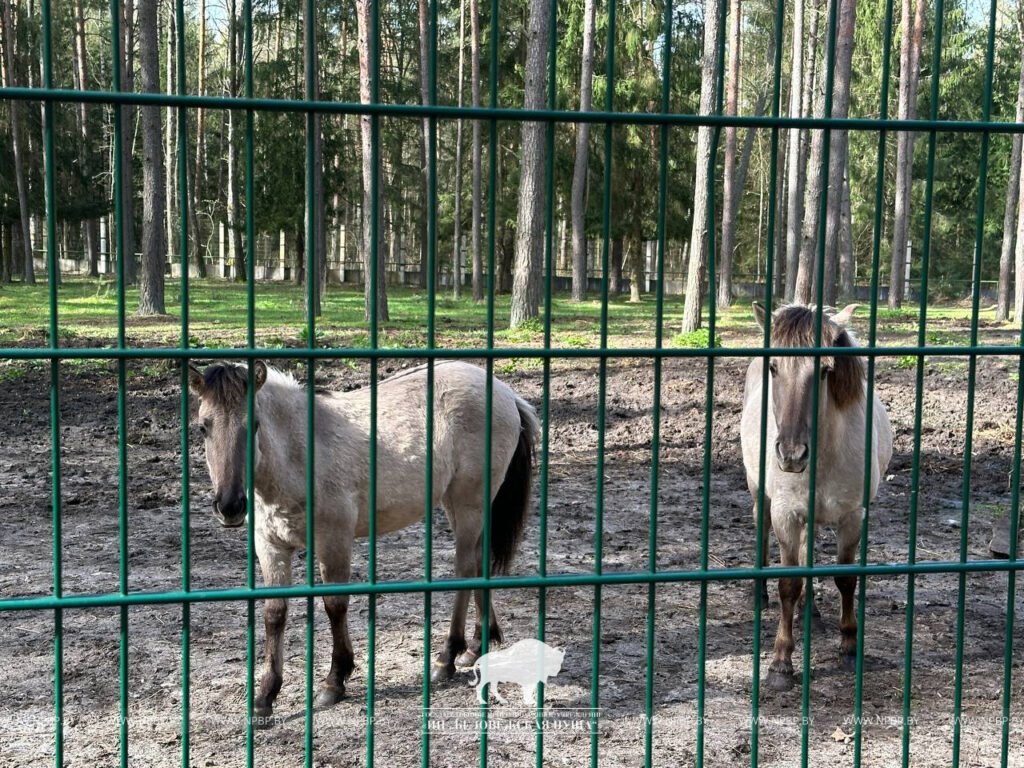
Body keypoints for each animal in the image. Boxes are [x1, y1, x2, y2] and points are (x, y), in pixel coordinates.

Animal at [188, 359, 539, 725]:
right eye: (203, 427)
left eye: (253, 424)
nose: (230, 506)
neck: (301, 452)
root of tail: (508, 395)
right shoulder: (271, 547)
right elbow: (274, 614)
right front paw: (265, 696)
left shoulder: (334, 541)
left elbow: (334, 605)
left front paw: (335, 681)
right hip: (458, 505)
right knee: (478, 563)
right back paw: (476, 646)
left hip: (470, 502)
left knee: (465, 568)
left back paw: (447, 657)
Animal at [740, 303, 892, 692]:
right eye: (774, 368)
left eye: (825, 370)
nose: (792, 454)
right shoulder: (785, 516)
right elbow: (788, 584)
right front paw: (780, 663)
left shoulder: (853, 515)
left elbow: (846, 578)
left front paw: (849, 645)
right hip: (758, 491)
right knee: (760, 528)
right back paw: (759, 596)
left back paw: (811, 610)